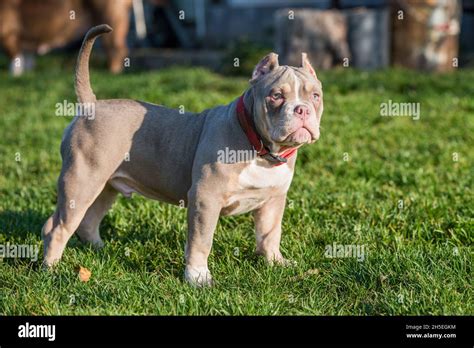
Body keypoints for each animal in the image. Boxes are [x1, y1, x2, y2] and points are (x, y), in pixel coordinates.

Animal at [41, 23, 322, 286]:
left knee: (88, 221)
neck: (260, 148)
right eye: (277, 96)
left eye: (316, 96)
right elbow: (201, 241)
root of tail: (91, 105)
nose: (302, 109)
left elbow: (270, 234)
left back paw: (99, 252)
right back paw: (51, 270)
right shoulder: (205, 199)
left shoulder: (274, 200)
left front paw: (275, 262)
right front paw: (197, 277)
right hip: (82, 181)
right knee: (58, 227)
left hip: (105, 186)